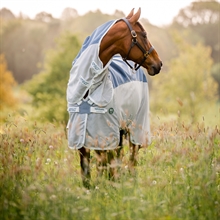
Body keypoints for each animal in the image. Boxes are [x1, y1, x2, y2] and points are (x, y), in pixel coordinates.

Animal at [66, 8, 162, 187]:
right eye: (144, 35)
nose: (158, 64)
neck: (88, 88)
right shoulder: (82, 139)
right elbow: (87, 173)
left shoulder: (107, 135)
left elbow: (109, 167)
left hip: (135, 126)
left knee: (132, 156)